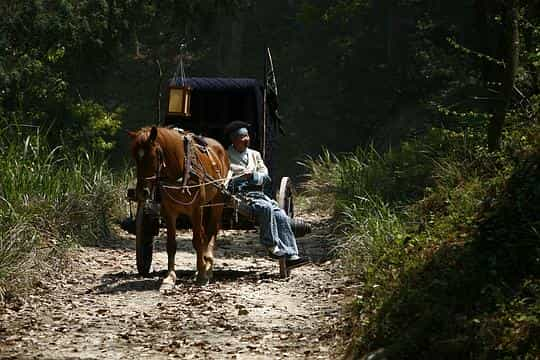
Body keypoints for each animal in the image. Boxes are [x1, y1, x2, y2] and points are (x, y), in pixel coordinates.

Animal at [129, 125, 230, 288]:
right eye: (135, 157)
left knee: (210, 232)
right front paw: (170, 277)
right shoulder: (169, 212)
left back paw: (208, 265)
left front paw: (202, 274)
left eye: (153, 156)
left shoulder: (196, 209)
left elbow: (197, 241)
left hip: (217, 203)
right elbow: (171, 244)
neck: (181, 172)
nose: (142, 192)